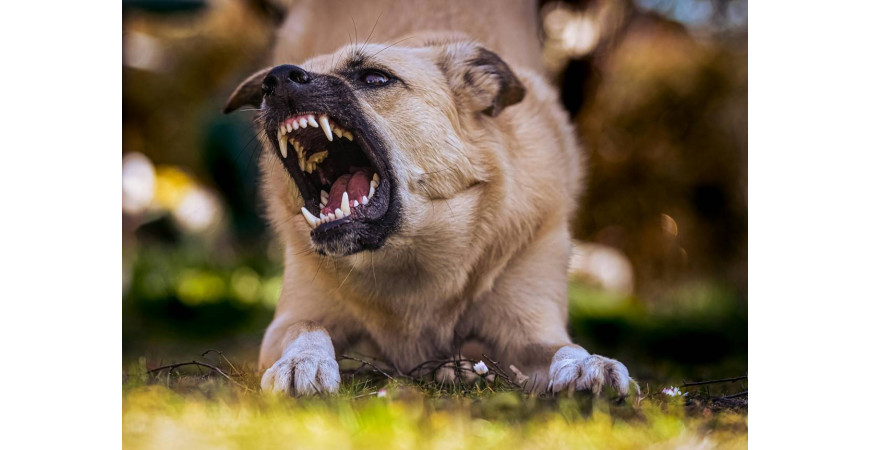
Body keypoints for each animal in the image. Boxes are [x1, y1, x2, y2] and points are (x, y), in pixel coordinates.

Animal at [225, 0, 632, 396]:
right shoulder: (289, 320)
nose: (276, 79)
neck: (408, 257)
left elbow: (563, 347)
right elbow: (308, 327)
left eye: (375, 78)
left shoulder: (531, 327)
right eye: (271, 82)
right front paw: (303, 361)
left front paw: (586, 364)